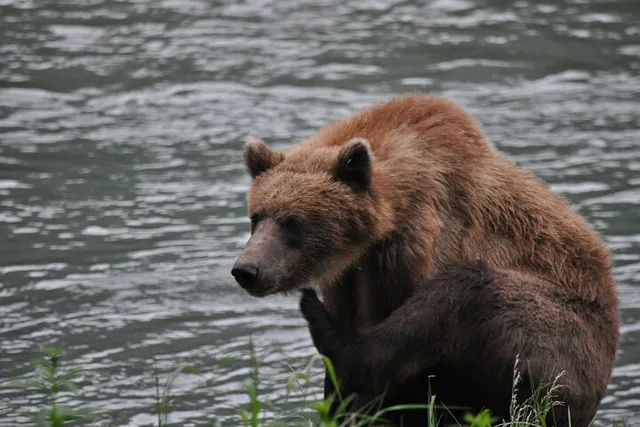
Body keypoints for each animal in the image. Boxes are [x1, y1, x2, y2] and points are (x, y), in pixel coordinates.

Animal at [231, 94, 620, 427]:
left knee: (468, 294)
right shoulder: (346, 277)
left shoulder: (413, 246)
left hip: (565, 339)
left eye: (294, 221)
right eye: (256, 216)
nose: (246, 270)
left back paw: (317, 316)